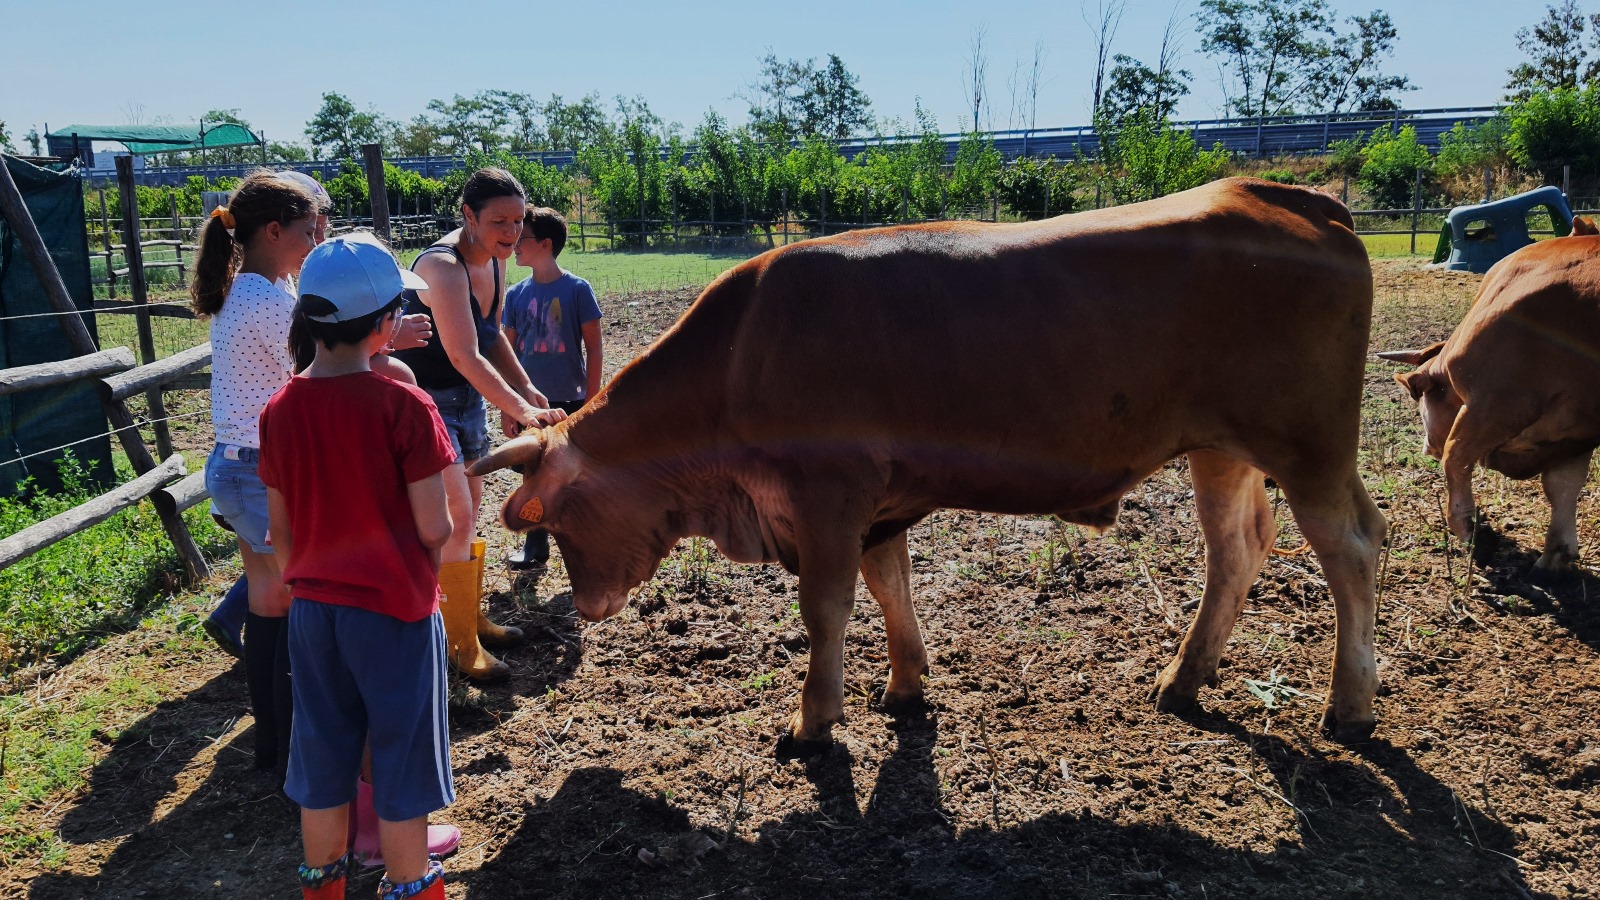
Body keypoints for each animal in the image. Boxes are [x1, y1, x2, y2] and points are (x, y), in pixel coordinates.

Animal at [467, 175, 1388, 743]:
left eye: (550, 512)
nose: (589, 607)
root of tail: (1285, 194)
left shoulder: (826, 497)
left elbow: (826, 610)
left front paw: (812, 723)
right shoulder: (878, 503)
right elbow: (890, 589)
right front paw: (905, 684)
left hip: (1310, 445)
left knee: (1352, 550)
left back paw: (1350, 704)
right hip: (1222, 449)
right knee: (1236, 549)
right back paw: (1184, 676)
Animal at [1376, 217, 1600, 570]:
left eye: (1421, 402)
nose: (1427, 448)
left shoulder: (1497, 402)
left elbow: (1456, 457)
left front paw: (1470, 529)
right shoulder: (1575, 431)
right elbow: (1563, 485)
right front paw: (1556, 555)